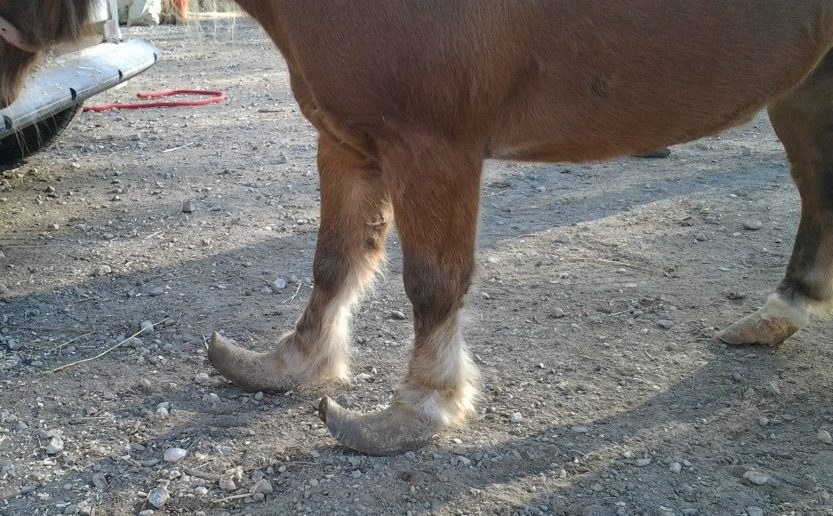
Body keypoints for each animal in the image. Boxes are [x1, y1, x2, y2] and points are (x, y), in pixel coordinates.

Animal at [2, 0, 832, 456]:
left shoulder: (433, 146)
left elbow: (431, 284)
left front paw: (417, 409)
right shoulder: (348, 142)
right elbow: (334, 262)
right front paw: (293, 365)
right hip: (803, 86)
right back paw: (778, 313)